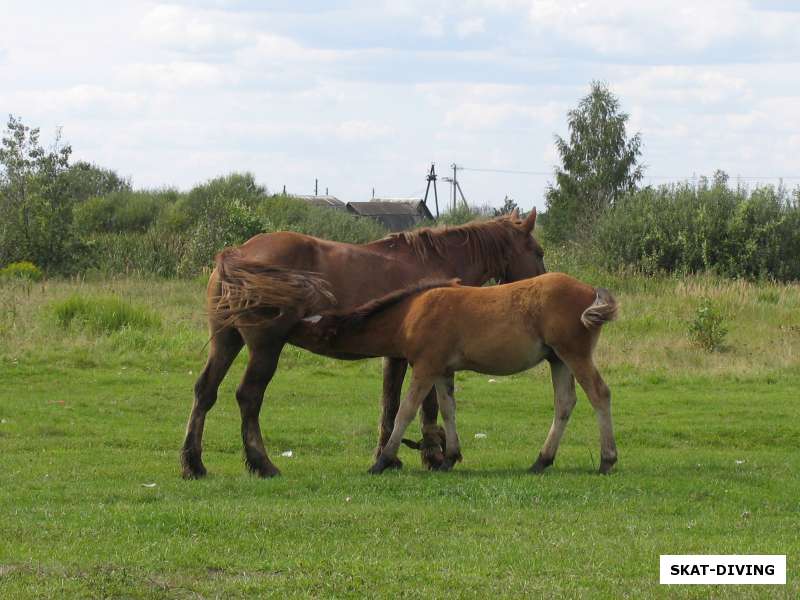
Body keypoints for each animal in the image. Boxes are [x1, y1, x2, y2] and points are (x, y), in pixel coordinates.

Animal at [178, 210, 548, 478]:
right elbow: (419, 405)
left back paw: (194, 463)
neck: (434, 265)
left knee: (204, 392)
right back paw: (262, 463)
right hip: (265, 348)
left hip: (227, 342)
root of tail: (237, 253)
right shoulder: (420, 357)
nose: (542, 283)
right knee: (249, 397)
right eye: (538, 251)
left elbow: (390, 404)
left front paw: (392, 455)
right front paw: (428, 453)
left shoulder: (397, 356)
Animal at [290, 272, 620, 474]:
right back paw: (542, 460)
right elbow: (448, 410)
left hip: (573, 354)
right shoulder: (442, 371)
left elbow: (406, 411)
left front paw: (382, 461)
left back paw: (606, 460)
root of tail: (590, 289)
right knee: (564, 403)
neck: (410, 314)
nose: (291, 327)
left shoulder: (425, 368)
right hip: (558, 360)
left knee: (599, 393)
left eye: (318, 331)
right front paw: (449, 457)